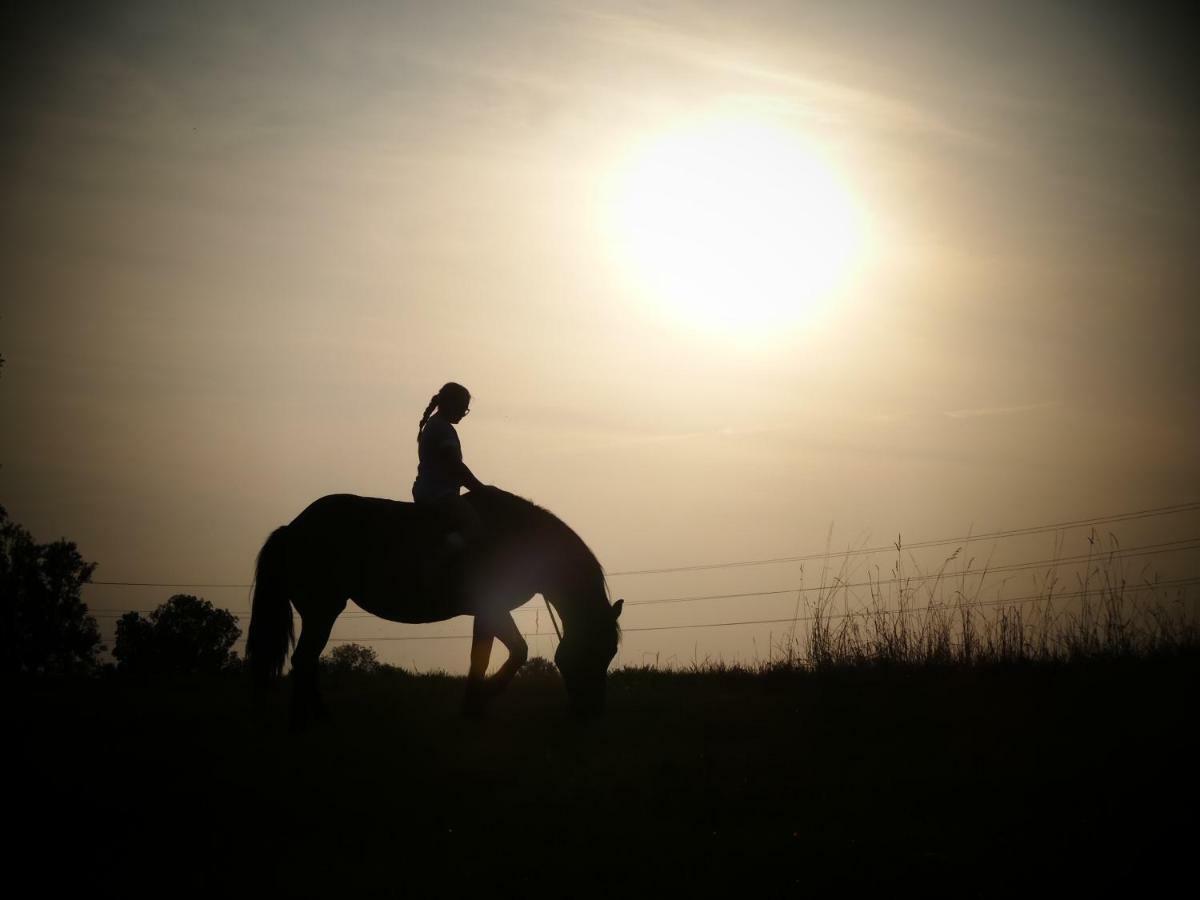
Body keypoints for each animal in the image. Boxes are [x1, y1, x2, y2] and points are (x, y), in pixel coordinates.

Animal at [242, 482, 619, 729]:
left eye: (612, 653)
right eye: (596, 650)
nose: (593, 711)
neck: (522, 539)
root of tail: (292, 528)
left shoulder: (492, 611)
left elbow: (502, 652)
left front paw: (477, 702)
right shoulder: (490, 608)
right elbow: (498, 654)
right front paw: (478, 700)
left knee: (306, 660)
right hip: (322, 610)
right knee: (304, 659)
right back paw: (308, 718)